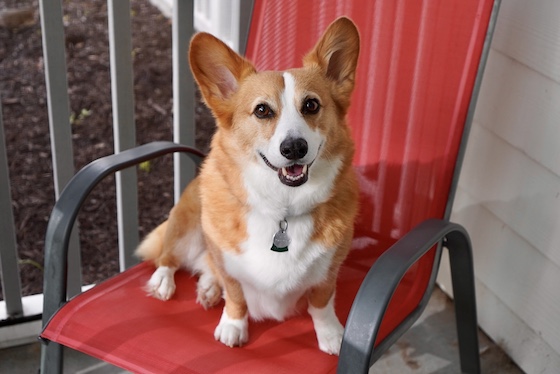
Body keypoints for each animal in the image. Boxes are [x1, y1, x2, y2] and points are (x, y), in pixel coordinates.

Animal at [138, 16, 360, 356]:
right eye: (262, 110)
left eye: (311, 105)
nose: (293, 148)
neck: (283, 208)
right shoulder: (229, 266)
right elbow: (236, 296)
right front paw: (233, 326)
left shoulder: (329, 269)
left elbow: (322, 303)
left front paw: (332, 335)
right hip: (188, 226)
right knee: (169, 256)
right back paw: (166, 282)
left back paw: (207, 288)